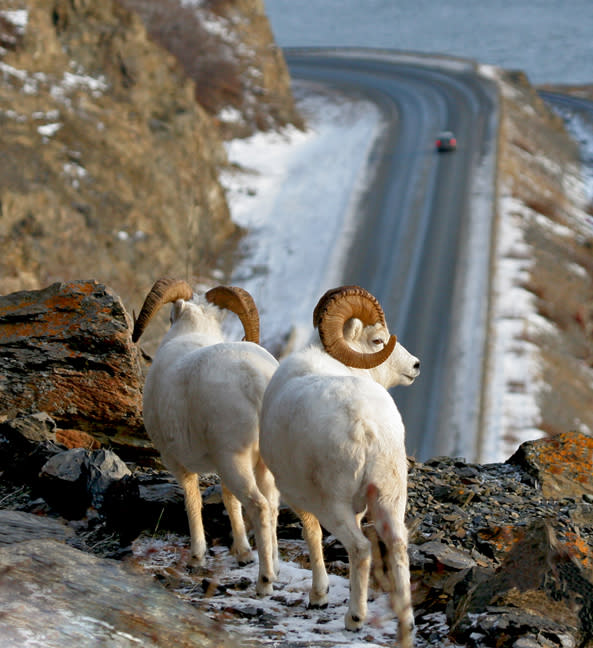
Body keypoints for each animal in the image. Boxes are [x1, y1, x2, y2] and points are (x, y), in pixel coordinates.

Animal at [134, 276, 280, 596]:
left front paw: (197, 557)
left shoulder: (177, 461)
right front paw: (242, 553)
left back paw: (264, 583)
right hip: (259, 464)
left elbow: (192, 501)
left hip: (235, 459)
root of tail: (258, 381)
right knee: (272, 503)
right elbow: (229, 501)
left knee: (260, 506)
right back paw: (274, 563)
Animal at [262, 284, 418, 644]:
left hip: (332, 504)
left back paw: (354, 618)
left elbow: (311, 535)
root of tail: (366, 425)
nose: (416, 366)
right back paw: (406, 625)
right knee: (397, 545)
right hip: (390, 497)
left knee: (360, 549)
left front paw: (318, 597)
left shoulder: (298, 497)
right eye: (378, 340)